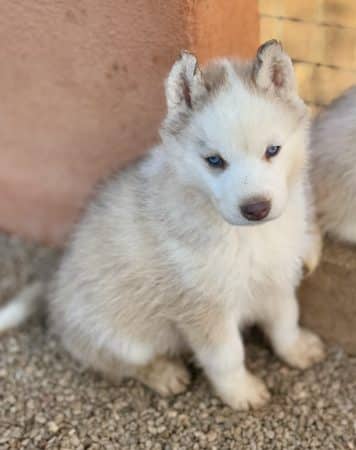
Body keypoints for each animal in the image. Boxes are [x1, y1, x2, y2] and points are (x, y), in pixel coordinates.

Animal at [0, 40, 324, 410]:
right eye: (214, 161)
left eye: (273, 150)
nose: (256, 208)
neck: (249, 237)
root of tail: (54, 291)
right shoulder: (203, 309)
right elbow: (227, 357)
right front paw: (241, 392)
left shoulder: (277, 277)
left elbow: (286, 319)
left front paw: (297, 349)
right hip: (124, 338)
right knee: (121, 364)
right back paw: (165, 374)